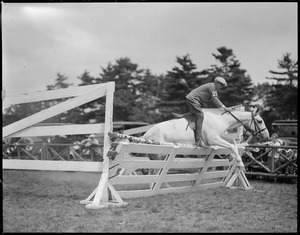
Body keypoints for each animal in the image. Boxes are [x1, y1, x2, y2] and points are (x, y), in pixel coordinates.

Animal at [142, 107, 270, 171]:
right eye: (260, 121)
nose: (266, 136)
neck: (219, 120)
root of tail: (146, 134)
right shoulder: (214, 139)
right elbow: (232, 146)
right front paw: (240, 163)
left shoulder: (216, 140)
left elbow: (231, 145)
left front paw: (231, 157)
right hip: (159, 154)